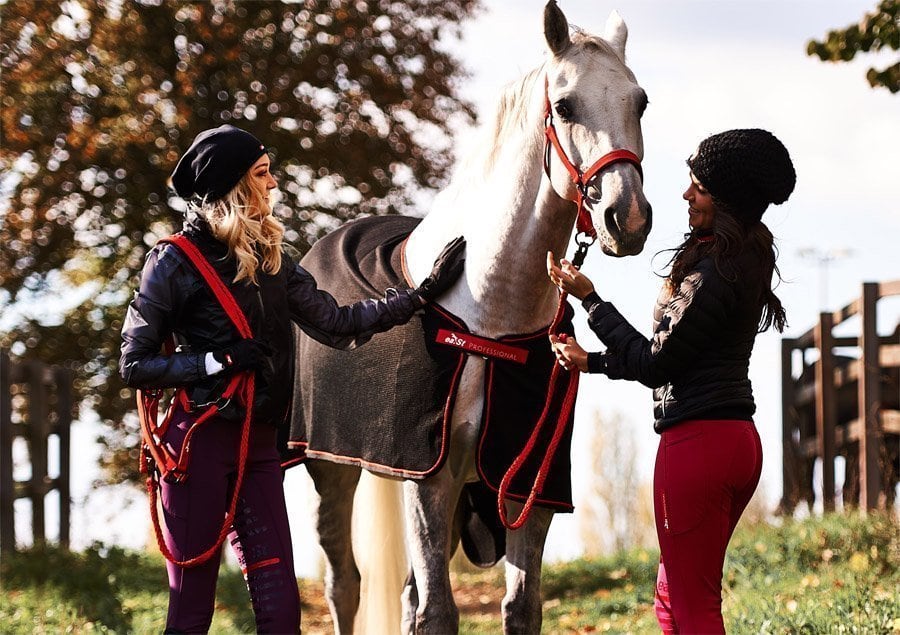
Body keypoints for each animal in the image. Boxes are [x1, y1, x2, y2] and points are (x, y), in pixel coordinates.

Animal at [291, 2, 651, 632]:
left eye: (640, 102)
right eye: (565, 106)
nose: (626, 217)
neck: (490, 311)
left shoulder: (527, 482)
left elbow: (520, 605)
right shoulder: (426, 475)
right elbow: (438, 610)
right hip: (330, 469)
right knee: (345, 584)